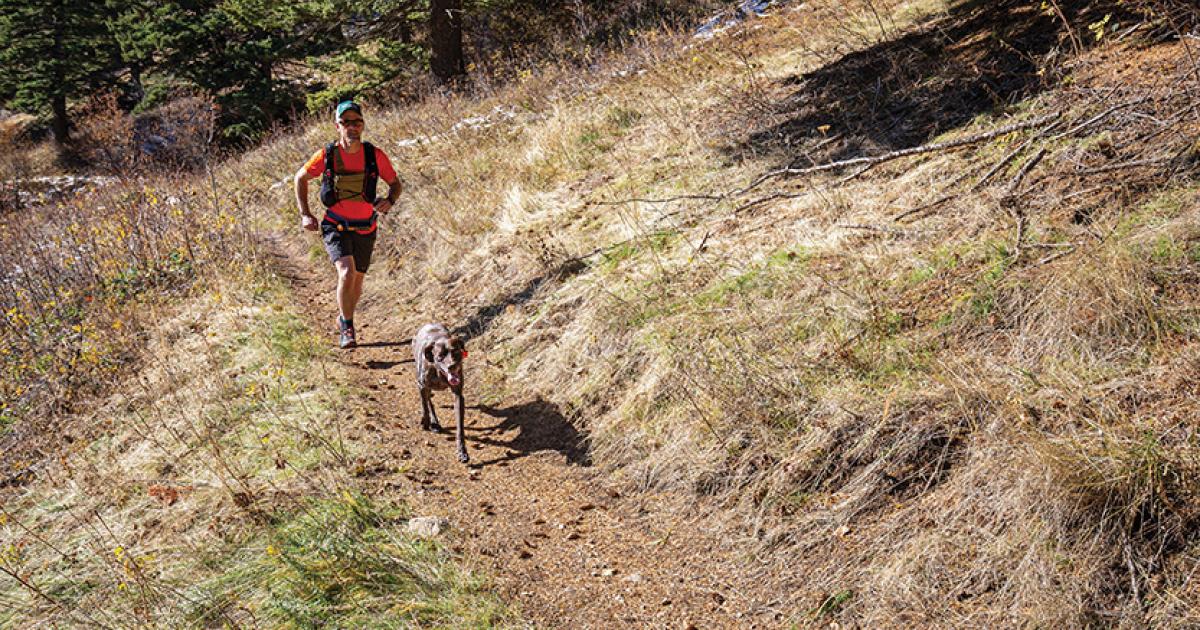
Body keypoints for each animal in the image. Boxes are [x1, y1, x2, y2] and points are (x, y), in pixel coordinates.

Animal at [412, 324, 468, 460]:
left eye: (456, 352)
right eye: (440, 356)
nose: (452, 366)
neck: (439, 373)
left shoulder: (458, 395)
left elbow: (460, 426)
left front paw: (462, 451)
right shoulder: (421, 385)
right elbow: (424, 406)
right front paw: (426, 423)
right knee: (428, 401)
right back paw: (434, 422)